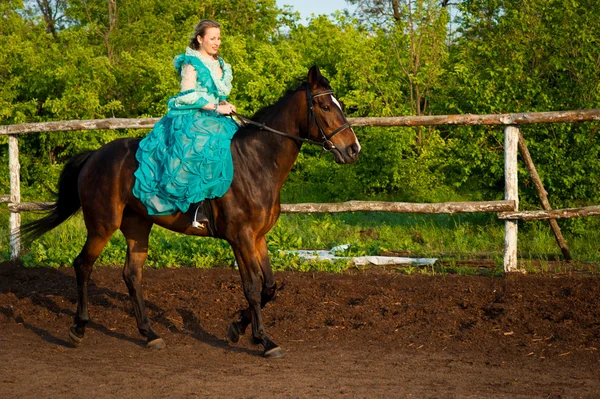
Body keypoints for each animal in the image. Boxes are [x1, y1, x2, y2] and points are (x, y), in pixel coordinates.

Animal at [22, 66, 360, 360]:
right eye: (326, 107)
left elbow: (269, 287)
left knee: (132, 274)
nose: (353, 149)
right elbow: (251, 287)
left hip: (137, 226)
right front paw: (264, 341)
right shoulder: (240, 237)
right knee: (83, 265)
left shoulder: (258, 238)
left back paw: (149, 334)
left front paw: (237, 328)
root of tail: (94, 156)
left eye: (339, 104)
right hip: (102, 225)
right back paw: (78, 329)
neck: (256, 161)